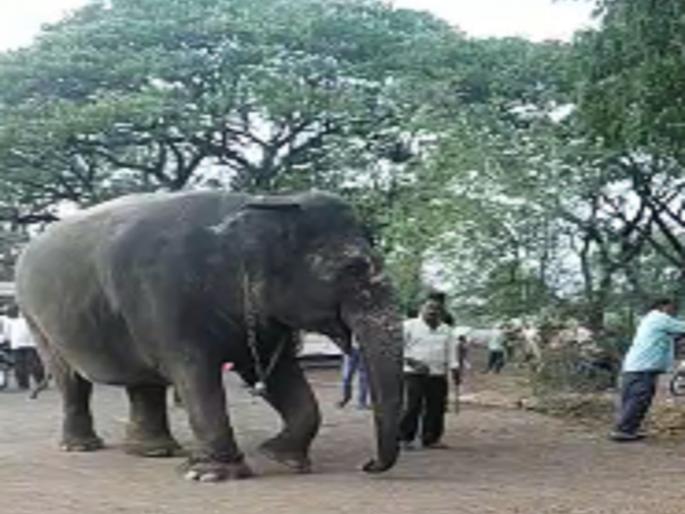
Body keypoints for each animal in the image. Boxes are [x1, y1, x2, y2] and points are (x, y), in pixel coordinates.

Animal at [15, 190, 403, 481]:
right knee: (71, 380)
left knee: (144, 382)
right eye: (352, 269)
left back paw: (155, 452)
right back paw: (82, 446)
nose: (367, 465)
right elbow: (193, 372)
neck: (266, 203)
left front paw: (281, 457)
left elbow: (277, 375)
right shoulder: (165, 296)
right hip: (36, 317)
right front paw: (212, 474)